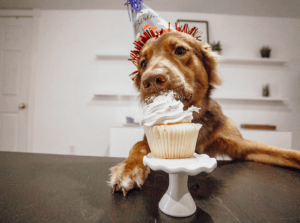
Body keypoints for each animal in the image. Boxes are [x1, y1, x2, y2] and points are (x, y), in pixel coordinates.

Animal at [109, 30, 300, 195]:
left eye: (180, 50)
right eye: (143, 63)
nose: (150, 80)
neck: (192, 119)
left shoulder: (241, 146)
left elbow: (284, 152)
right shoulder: (151, 138)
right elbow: (138, 146)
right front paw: (128, 169)